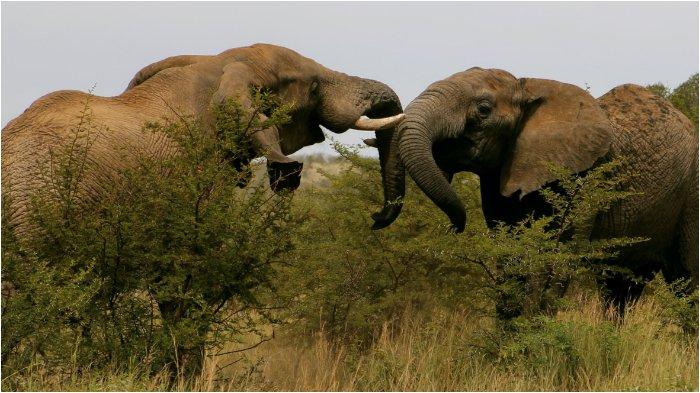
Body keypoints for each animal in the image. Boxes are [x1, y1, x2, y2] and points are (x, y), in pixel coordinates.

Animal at [396, 66, 696, 302]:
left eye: (483, 110)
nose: (454, 228)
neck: (528, 89)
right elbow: (509, 255)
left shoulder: (580, 180)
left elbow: (557, 258)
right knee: (619, 285)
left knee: (688, 276)